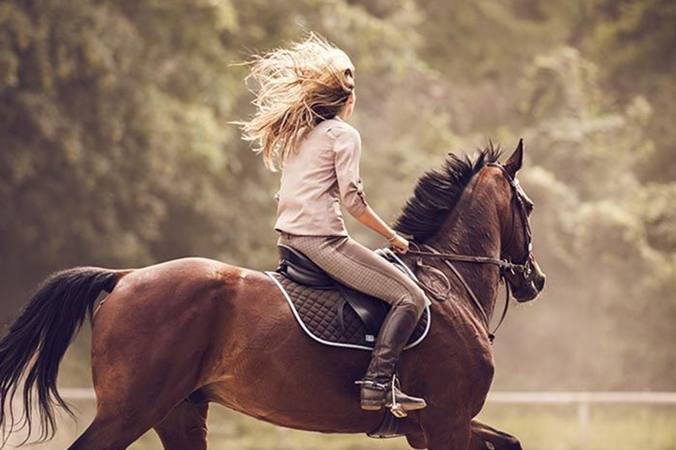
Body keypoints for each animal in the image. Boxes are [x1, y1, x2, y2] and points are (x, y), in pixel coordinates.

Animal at [0, 140, 545, 449]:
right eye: (529, 207)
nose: (535, 280)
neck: (447, 279)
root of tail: (125, 276)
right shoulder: (447, 420)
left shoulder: (431, 426)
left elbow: (513, 441)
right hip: (132, 410)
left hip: (180, 412)